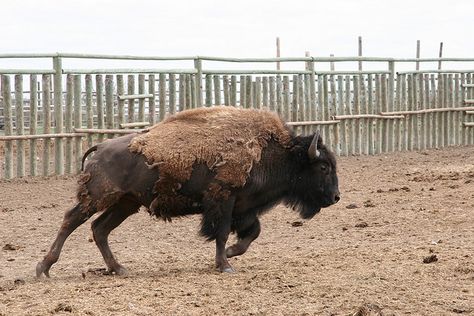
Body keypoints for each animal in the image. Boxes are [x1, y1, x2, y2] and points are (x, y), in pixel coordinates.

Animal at [37, 106, 340, 276]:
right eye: (324, 166)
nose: (336, 197)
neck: (272, 152)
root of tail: (100, 147)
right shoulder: (223, 200)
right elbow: (220, 233)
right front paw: (225, 265)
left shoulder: (243, 208)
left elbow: (252, 233)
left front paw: (232, 253)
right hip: (98, 197)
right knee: (71, 220)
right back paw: (44, 268)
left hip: (126, 203)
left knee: (100, 228)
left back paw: (119, 269)